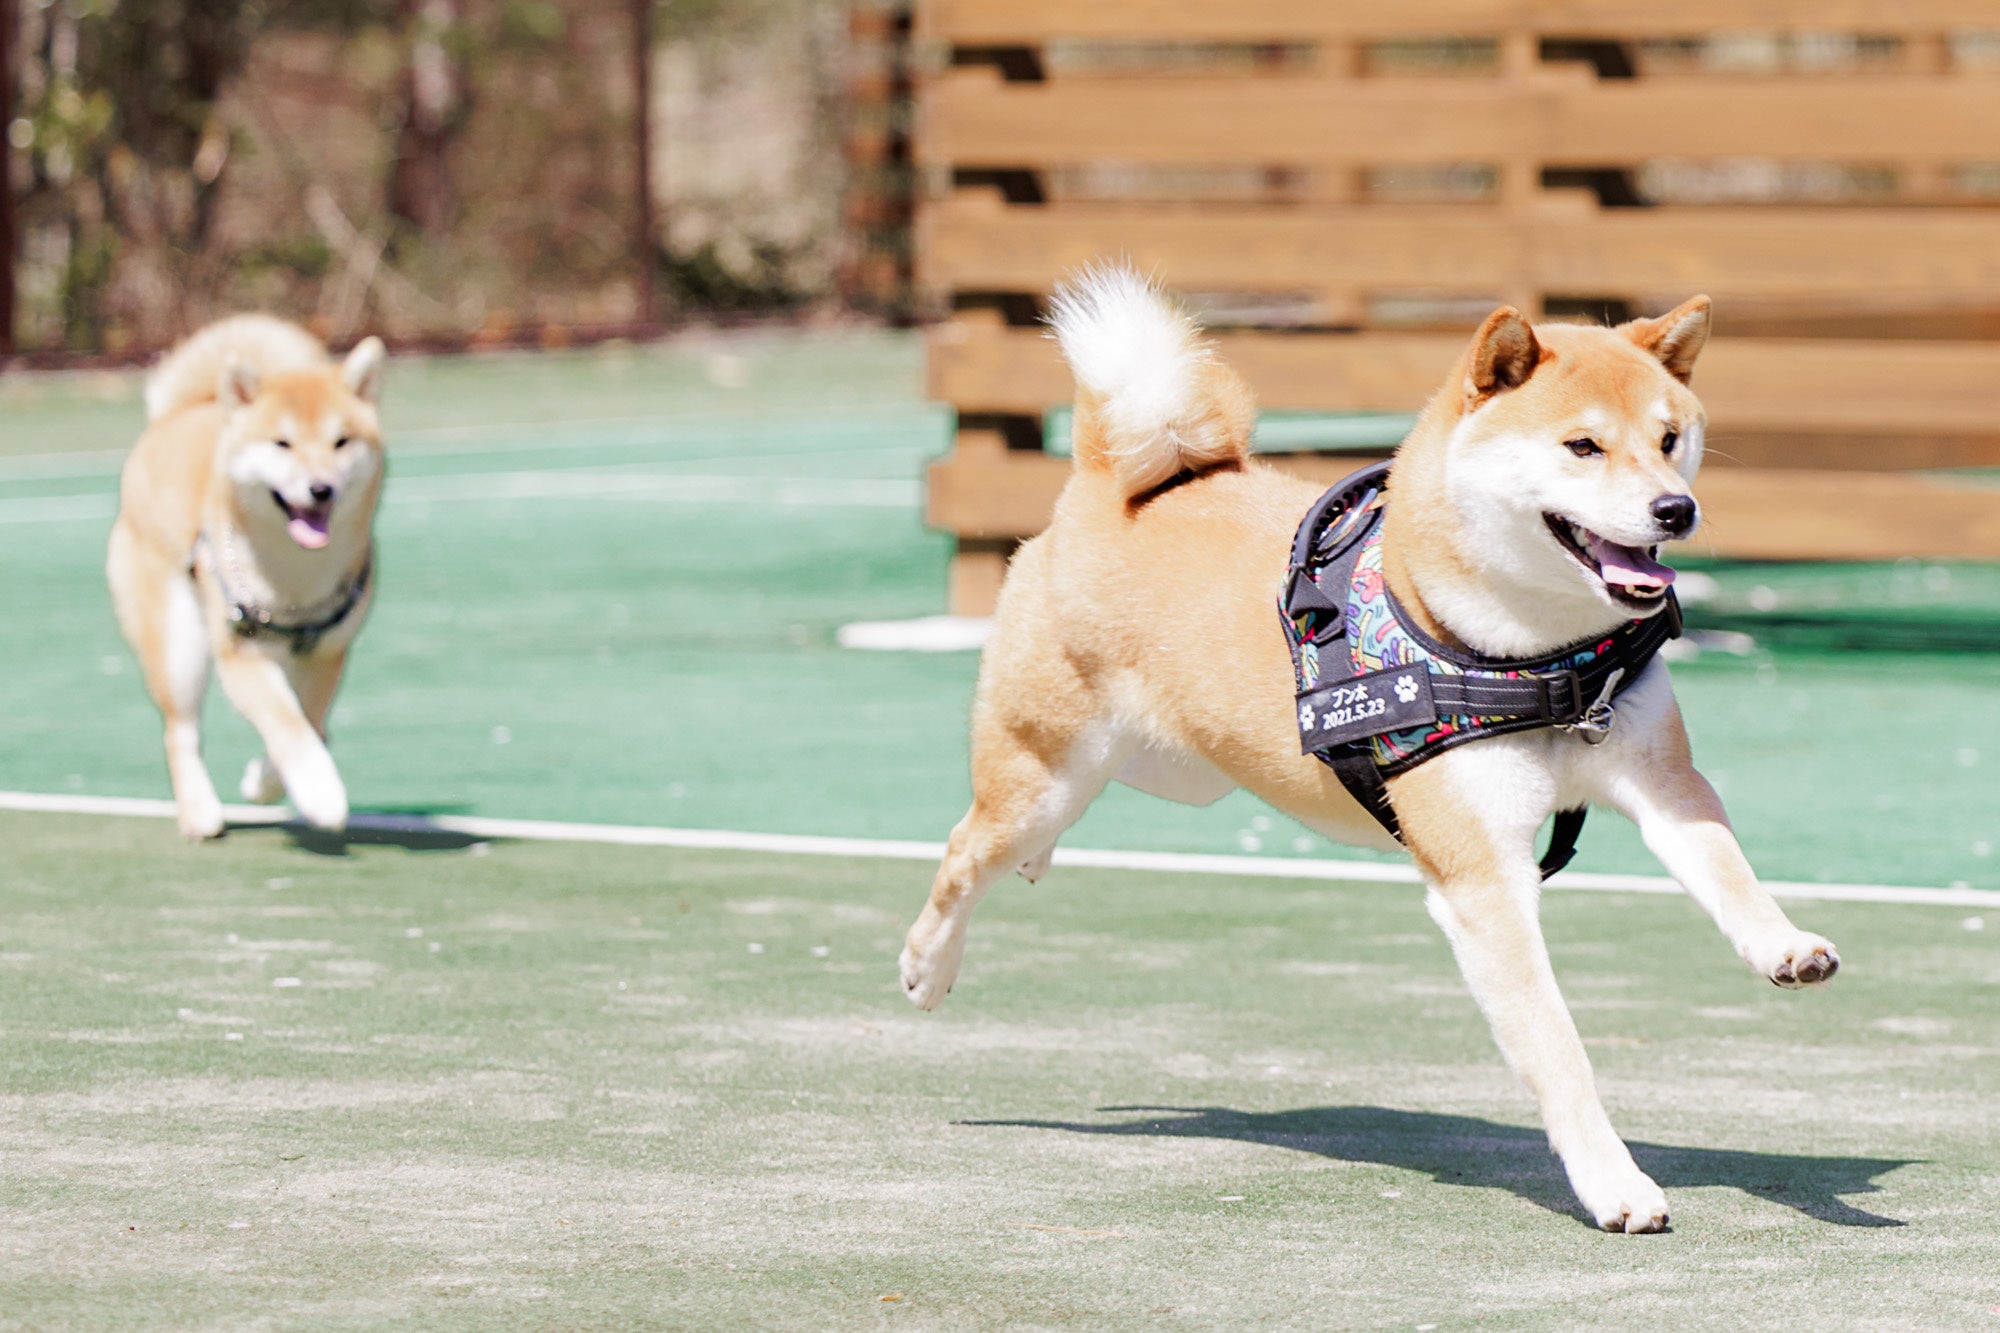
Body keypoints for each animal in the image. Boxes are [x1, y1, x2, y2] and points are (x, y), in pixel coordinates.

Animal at [106, 314, 390, 832]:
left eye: (341, 442)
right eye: (283, 444)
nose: (321, 488)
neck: (293, 575)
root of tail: (182, 412)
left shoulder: (325, 655)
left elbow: (307, 722)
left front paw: (267, 781)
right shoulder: (241, 653)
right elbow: (287, 724)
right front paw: (320, 791)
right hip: (179, 645)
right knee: (180, 730)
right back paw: (199, 811)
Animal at [908, 264, 1840, 1232]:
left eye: (1669, 439)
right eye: (1583, 446)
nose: (1675, 508)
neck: (1544, 663)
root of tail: (1102, 484)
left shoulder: (1664, 779)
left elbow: (1727, 868)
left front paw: (1781, 943)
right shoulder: (1484, 881)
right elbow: (1558, 1047)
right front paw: (1613, 1181)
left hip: (1172, 768)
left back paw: (1033, 867)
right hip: (1049, 768)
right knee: (965, 848)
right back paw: (929, 964)